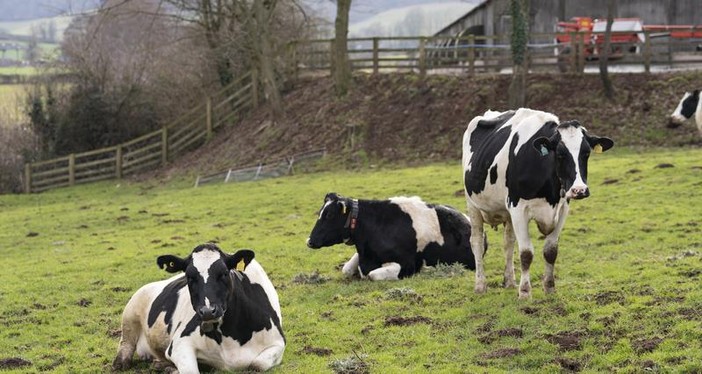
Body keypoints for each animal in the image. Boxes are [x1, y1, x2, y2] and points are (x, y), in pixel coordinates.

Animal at [113, 244, 286, 372]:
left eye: (224, 273)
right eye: (189, 277)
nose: (208, 311)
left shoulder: (278, 343)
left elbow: (257, 365)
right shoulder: (179, 343)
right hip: (130, 313)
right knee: (125, 345)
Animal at [464, 107, 612, 298]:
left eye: (586, 153)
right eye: (560, 154)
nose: (579, 190)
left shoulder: (562, 208)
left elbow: (551, 251)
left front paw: (549, 287)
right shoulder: (518, 208)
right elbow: (526, 253)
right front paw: (525, 292)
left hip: (506, 212)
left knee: (508, 242)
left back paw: (509, 282)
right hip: (473, 205)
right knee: (477, 242)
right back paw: (480, 285)